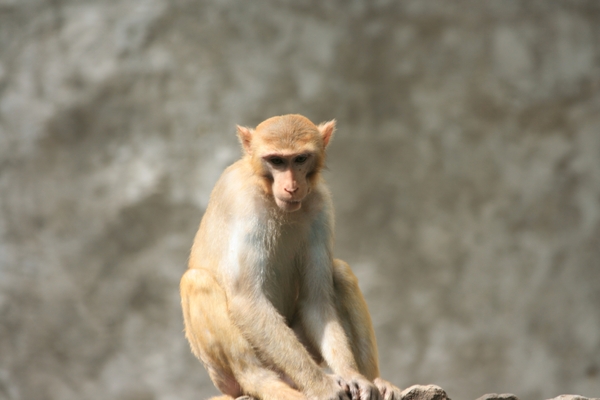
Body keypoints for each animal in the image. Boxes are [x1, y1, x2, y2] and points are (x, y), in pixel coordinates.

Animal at [180, 115, 400, 400]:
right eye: (276, 161)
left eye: (300, 159)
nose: (292, 187)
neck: (267, 190)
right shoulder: (244, 203)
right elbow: (246, 300)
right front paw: (322, 387)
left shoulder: (320, 203)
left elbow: (316, 300)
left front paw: (353, 376)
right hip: (226, 374)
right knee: (196, 281)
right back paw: (264, 384)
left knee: (340, 272)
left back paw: (376, 380)